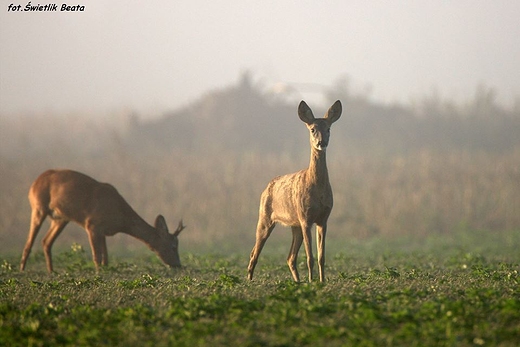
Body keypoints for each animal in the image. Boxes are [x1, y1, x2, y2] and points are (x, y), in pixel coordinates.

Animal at [20, 170, 187, 274]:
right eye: (173, 246)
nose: (178, 264)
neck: (121, 217)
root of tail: (33, 184)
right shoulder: (92, 225)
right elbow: (97, 256)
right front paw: (98, 273)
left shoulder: (103, 232)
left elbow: (105, 258)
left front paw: (105, 271)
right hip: (38, 207)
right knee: (29, 242)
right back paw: (22, 269)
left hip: (60, 218)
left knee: (46, 241)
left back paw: (51, 271)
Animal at [247, 100, 342, 282]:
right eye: (312, 129)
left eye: (328, 129)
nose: (321, 143)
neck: (317, 188)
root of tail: (267, 187)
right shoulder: (305, 218)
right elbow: (310, 257)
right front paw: (312, 282)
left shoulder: (323, 219)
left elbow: (321, 257)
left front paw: (322, 281)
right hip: (265, 216)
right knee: (254, 253)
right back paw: (249, 281)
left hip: (294, 224)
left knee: (290, 257)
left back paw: (297, 282)